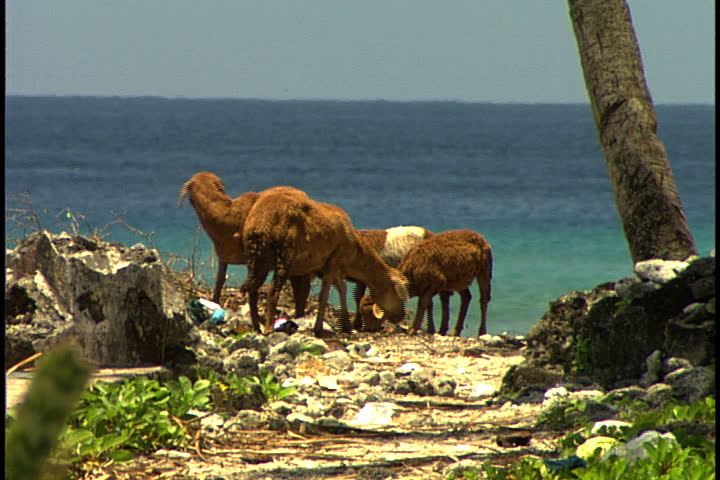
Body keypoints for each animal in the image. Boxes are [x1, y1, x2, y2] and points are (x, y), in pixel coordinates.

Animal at [242, 187, 409, 337]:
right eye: (396, 292)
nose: (401, 316)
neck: (355, 255)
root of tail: (262, 224)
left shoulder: (333, 268)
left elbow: (342, 289)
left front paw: (345, 326)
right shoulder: (333, 263)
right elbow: (325, 296)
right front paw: (320, 328)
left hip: (256, 257)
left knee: (253, 289)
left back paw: (256, 327)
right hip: (284, 256)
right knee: (273, 292)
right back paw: (269, 328)